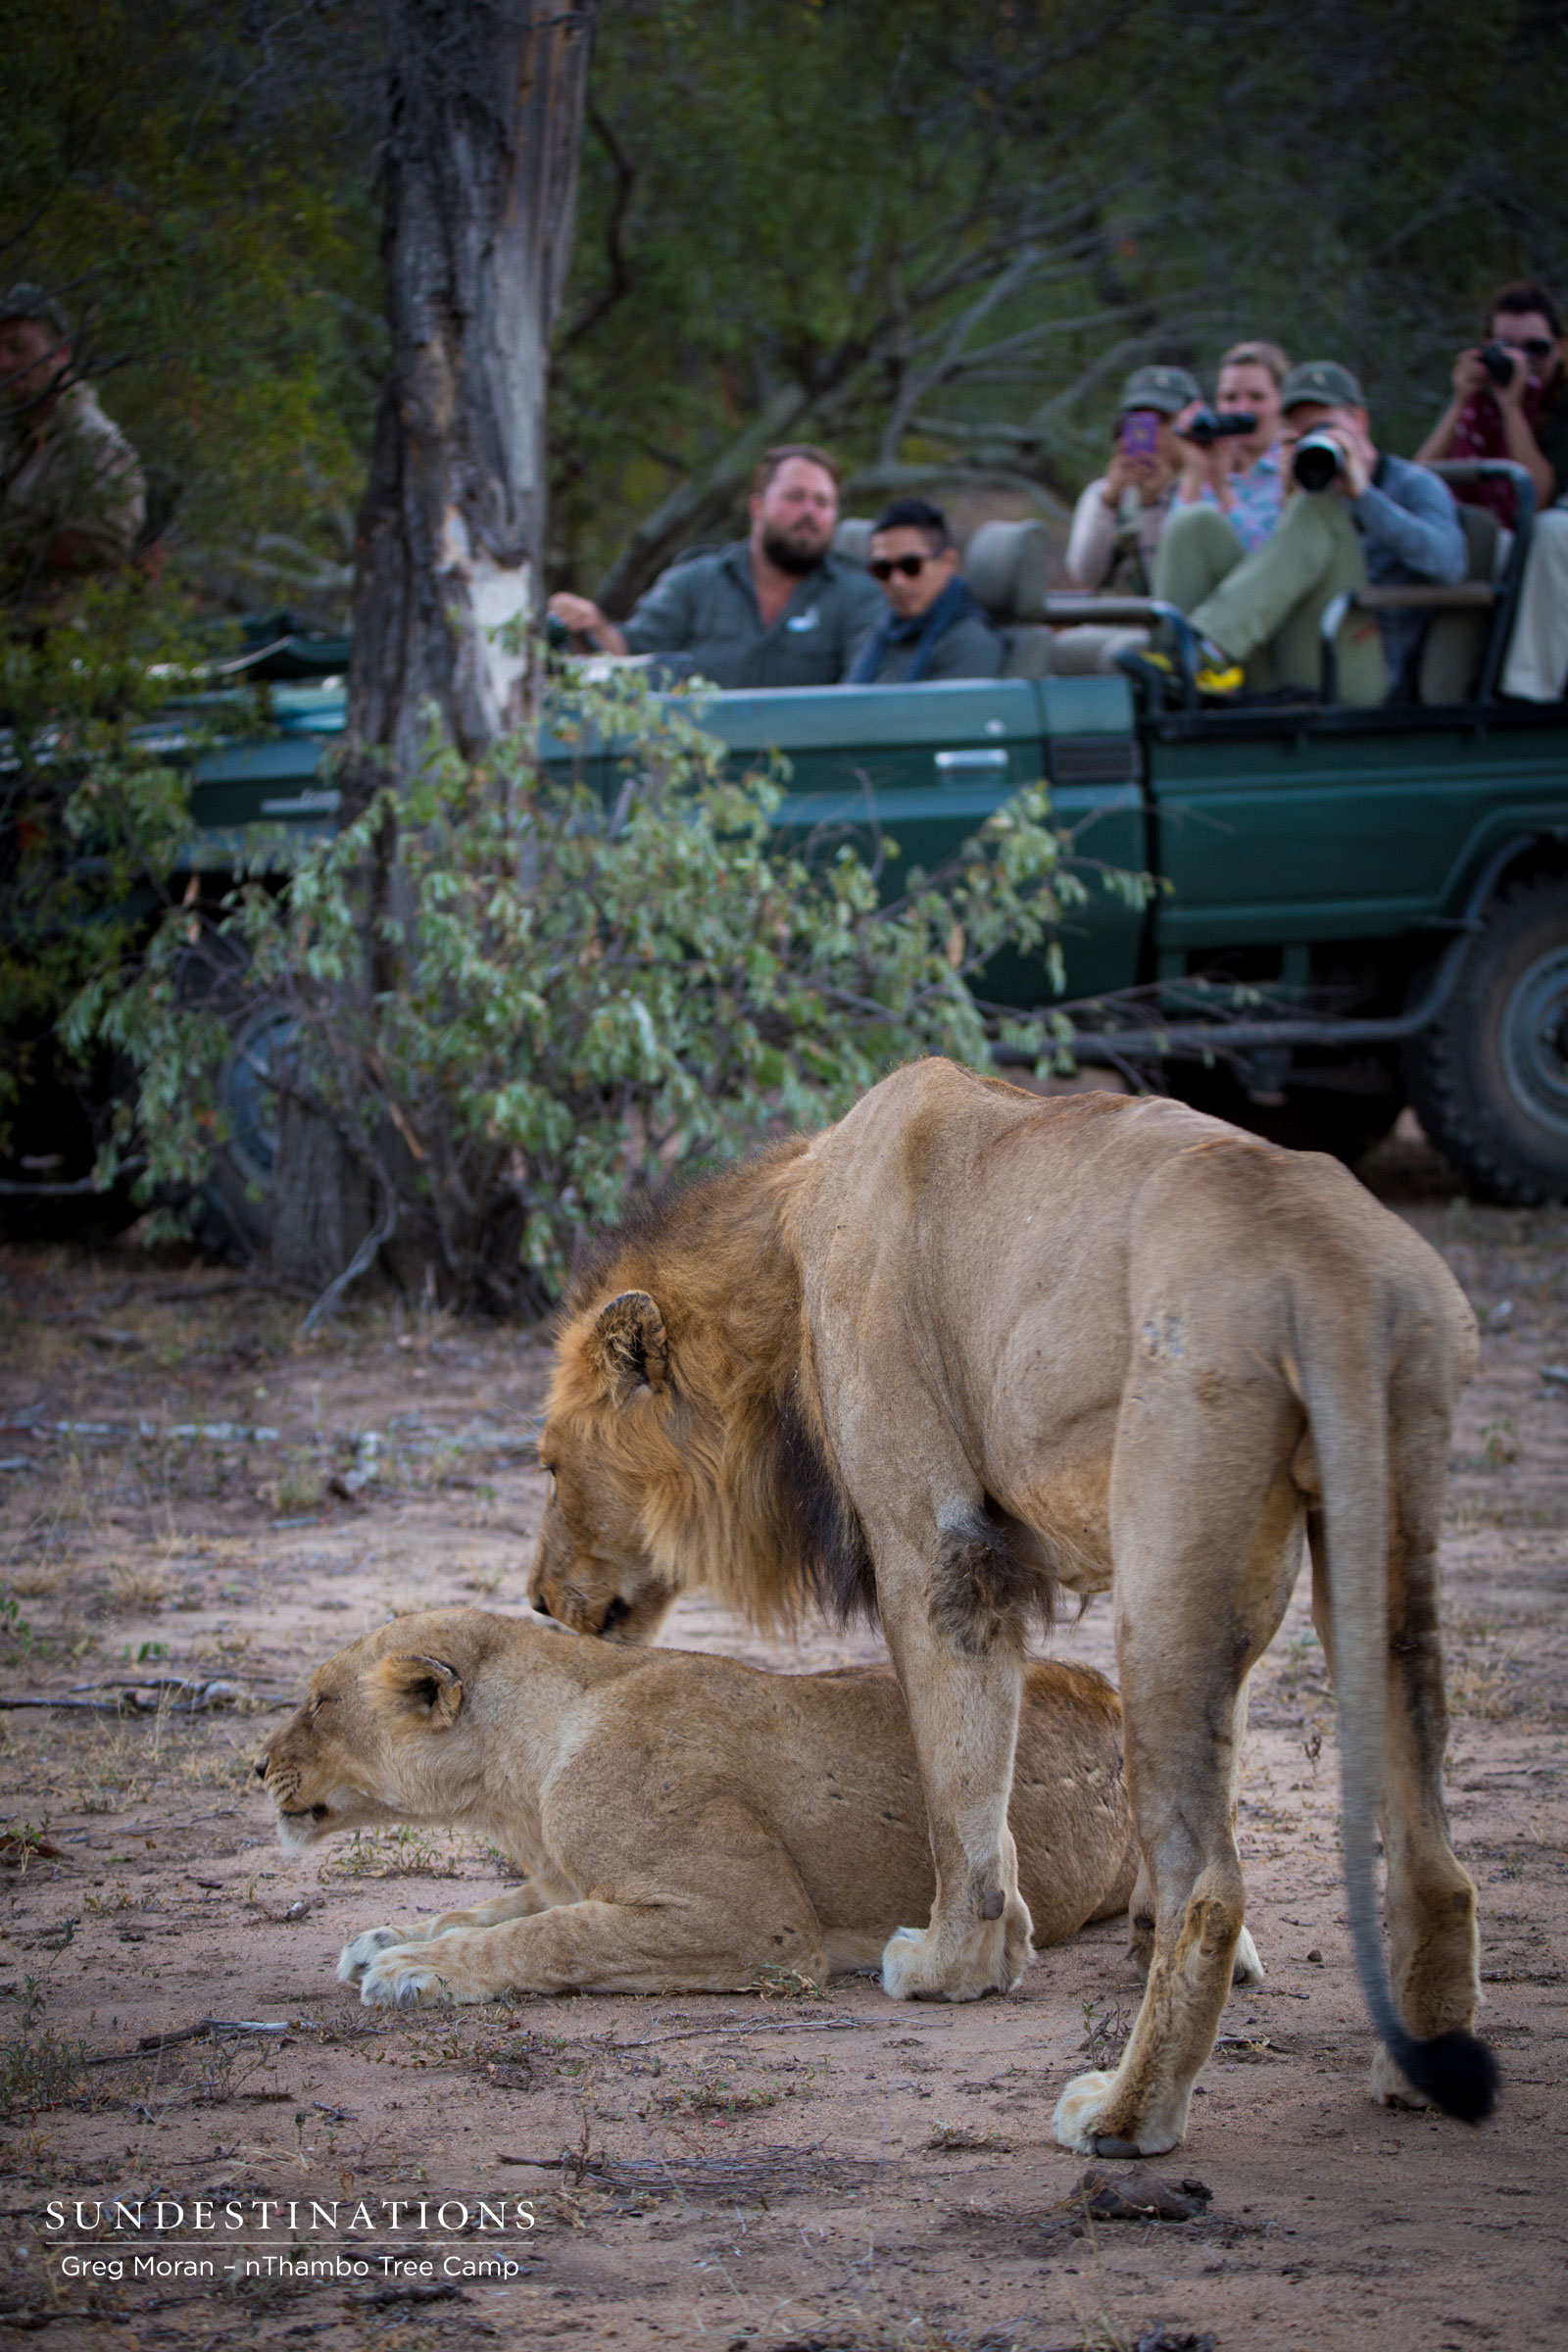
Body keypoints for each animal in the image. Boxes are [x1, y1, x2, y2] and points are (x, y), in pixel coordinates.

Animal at [255, 1606, 1137, 2005]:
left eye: (320, 1703)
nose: (256, 1765)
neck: (515, 1781)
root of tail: (1110, 1690)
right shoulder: (562, 1877)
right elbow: (483, 1910)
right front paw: (386, 1938)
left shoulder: (759, 1923)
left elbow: (550, 1937)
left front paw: (416, 1969)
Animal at [528, 1057, 1498, 2155]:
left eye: (550, 1465)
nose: (534, 1597)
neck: (789, 1254)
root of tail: (1329, 1266)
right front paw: (1129, 1938)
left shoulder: (935, 1545)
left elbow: (960, 1788)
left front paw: (955, 1965)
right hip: (1374, 1535)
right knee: (1431, 1859)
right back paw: (1418, 2067)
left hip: (1164, 1553)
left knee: (1211, 1884)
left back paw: (1123, 2114)